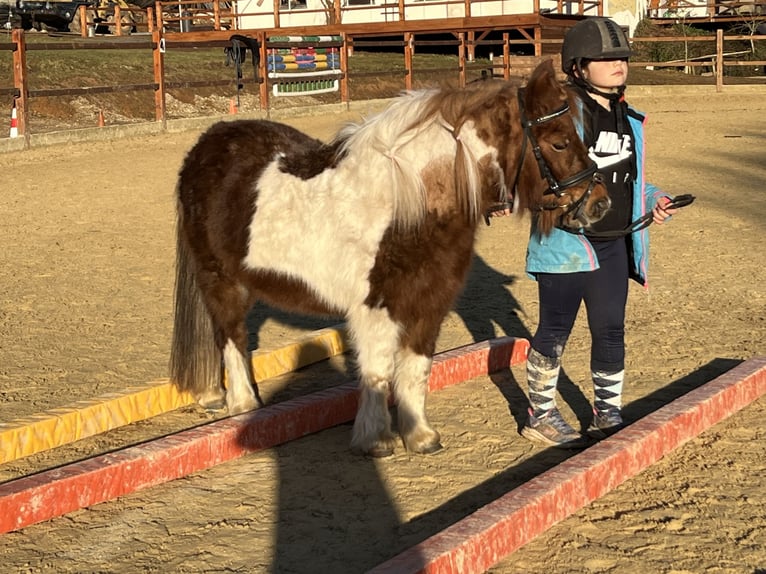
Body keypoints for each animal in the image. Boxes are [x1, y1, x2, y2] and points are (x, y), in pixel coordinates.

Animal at [171, 59, 608, 460]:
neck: (410, 203)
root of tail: (205, 146)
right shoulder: (376, 308)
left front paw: (420, 436)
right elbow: (378, 371)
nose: (599, 204)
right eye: (559, 142)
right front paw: (377, 439)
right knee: (231, 337)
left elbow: (416, 370)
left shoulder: (428, 306)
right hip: (221, 281)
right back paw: (244, 404)